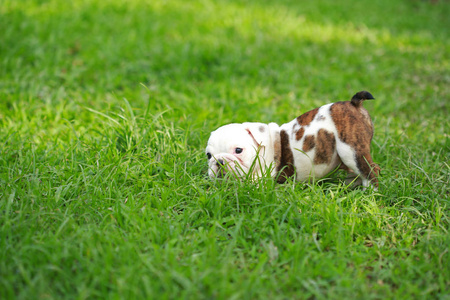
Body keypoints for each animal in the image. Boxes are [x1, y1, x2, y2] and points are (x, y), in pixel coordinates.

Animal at [207, 91, 380, 189]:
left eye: (238, 150)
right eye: (208, 155)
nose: (219, 161)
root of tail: (353, 103)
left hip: (350, 150)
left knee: (370, 171)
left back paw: (369, 193)